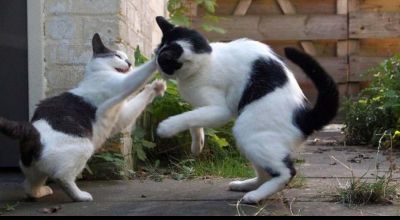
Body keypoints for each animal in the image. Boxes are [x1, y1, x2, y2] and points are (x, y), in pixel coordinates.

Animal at [0, 33, 166, 202]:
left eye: (126, 58)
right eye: (118, 56)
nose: (130, 62)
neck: (97, 73)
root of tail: (32, 130)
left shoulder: (121, 117)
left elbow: (137, 102)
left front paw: (156, 87)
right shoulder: (121, 84)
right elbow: (139, 74)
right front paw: (159, 56)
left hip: (34, 169)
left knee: (29, 187)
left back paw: (41, 192)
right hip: (84, 147)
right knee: (62, 177)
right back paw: (80, 196)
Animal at [153, 16, 338, 204]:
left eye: (162, 61)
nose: (157, 67)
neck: (206, 60)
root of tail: (304, 117)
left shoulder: (219, 110)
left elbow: (187, 117)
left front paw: (166, 127)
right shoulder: (200, 106)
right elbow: (194, 119)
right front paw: (198, 145)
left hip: (248, 132)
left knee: (286, 172)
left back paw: (255, 196)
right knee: (265, 173)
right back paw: (246, 185)